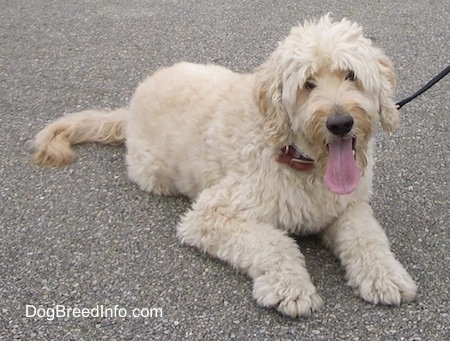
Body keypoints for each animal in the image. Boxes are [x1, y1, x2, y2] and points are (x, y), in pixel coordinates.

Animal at [32, 16, 418, 316]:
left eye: (351, 75)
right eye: (308, 84)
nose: (340, 123)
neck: (300, 160)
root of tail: (129, 110)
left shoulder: (349, 207)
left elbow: (368, 238)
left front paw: (386, 276)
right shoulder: (212, 214)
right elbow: (273, 242)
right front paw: (290, 287)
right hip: (154, 173)